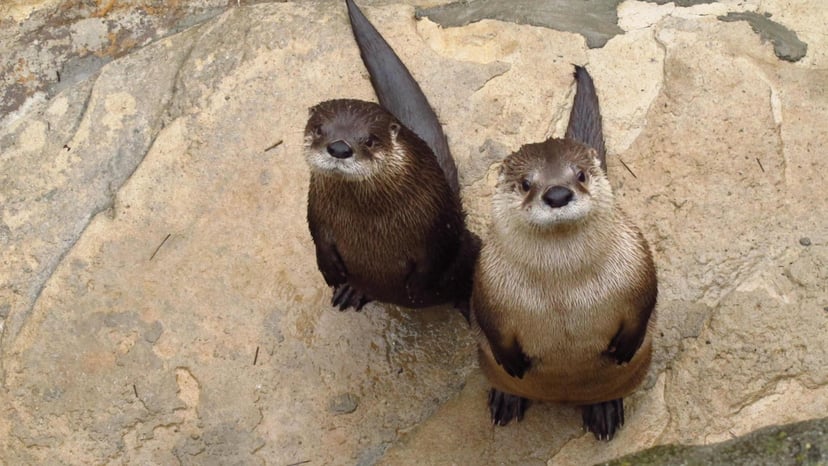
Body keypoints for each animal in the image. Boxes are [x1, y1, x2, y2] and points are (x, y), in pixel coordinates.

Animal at [304, 0, 478, 313]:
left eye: (370, 140)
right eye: (319, 129)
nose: (339, 148)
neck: (368, 220)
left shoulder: (436, 219)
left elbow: (435, 254)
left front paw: (416, 287)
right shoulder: (316, 207)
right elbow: (318, 236)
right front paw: (330, 271)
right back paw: (352, 291)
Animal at [471, 66, 657, 440]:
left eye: (581, 175)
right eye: (526, 183)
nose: (557, 194)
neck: (564, 287)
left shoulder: (637, 259)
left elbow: (647, 296)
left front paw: (625, 345)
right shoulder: (488, 279)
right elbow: (487, 319)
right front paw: (512, 362)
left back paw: (603, 410)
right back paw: (506, 399)